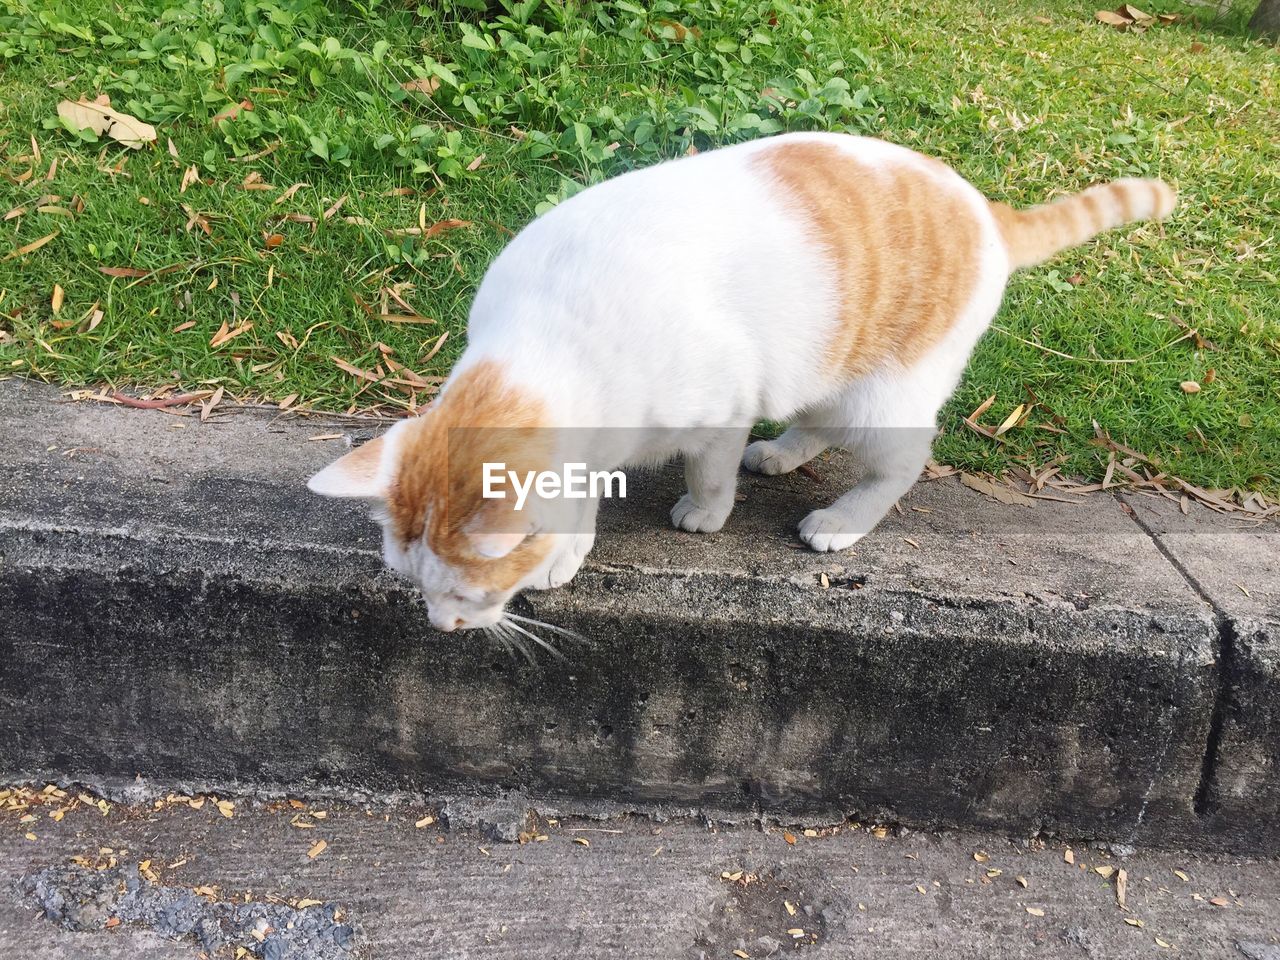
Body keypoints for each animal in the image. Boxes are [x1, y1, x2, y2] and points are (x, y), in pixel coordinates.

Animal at [307, 131, 1172, 634]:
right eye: (412, 583)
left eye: (466, 593)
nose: (439, 628)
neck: (551, 340)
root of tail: (983, 207)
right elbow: (584, 491)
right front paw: (572, 543)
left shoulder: (719, 408)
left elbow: (711, 467)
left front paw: (706, 511)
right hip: (826, 368)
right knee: (815, 418)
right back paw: (784, 453)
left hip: (882, 396)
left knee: (899, 462)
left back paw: (841, 519)